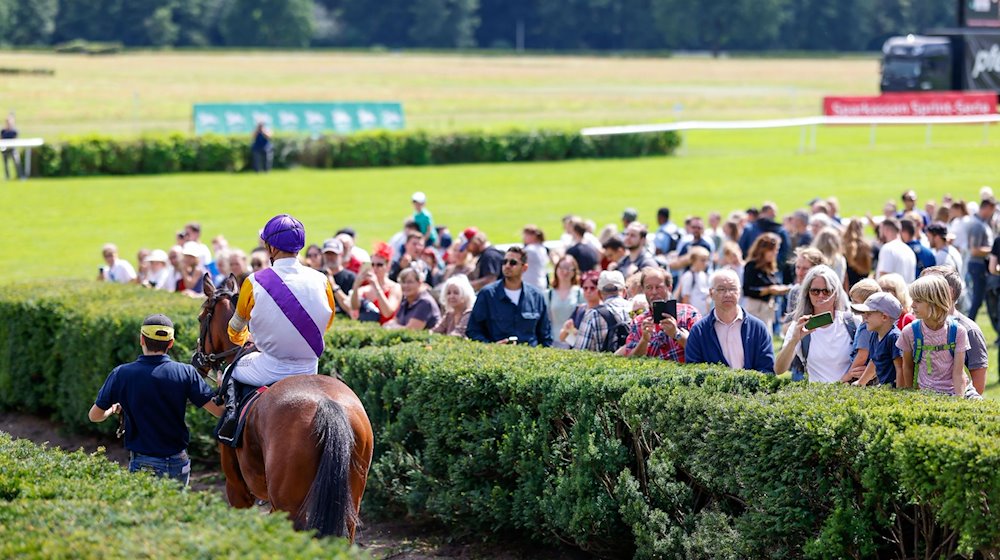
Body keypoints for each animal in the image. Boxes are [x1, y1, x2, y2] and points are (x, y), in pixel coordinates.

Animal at [193, 274, 374, 540]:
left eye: (200, 317)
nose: (197, 360)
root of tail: (327, 404)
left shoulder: (236, 488)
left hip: (288, 505)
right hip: (351, 500)